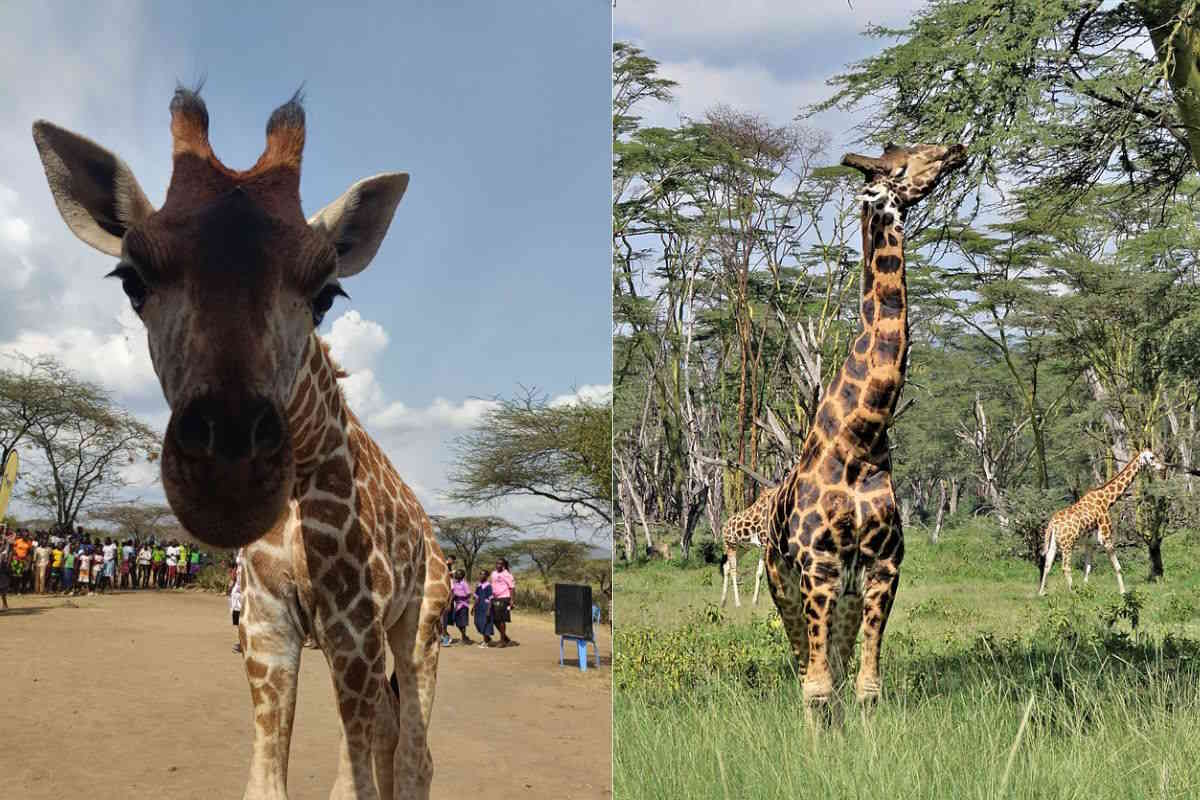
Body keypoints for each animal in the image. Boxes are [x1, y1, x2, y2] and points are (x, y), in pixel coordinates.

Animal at [33, 88, 451, 800]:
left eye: (327, 293)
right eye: (131, 280)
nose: (227, 480)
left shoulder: (355, 627)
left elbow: (355, 781)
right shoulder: (265, 624)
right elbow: (267, 780)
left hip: (420, 625)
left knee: (416, 752)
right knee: (395, 735)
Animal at [762, 143, 966, 721]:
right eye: (906, 161)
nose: (957, 149)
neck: (862, 438)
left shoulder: (882, 569)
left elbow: (866, 685)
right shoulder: (818, 567)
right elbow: (816, 688)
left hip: (845, 597)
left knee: (835, 662)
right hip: (784, 586)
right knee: (804, 668)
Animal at [1038, 448, 1165, 596]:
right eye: (1152, 457)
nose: (1163, 467)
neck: (1107, 501)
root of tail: (1052, 524)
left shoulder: (1090, 543)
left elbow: (1087, 569)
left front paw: (1086, 590)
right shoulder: (1106, 538)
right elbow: (1118, 567)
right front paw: (1123, 592)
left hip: (1054, 543)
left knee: (1047, 564)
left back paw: (1042, 592)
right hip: (1067, 544)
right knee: (1065, 567)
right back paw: (1072, 592)